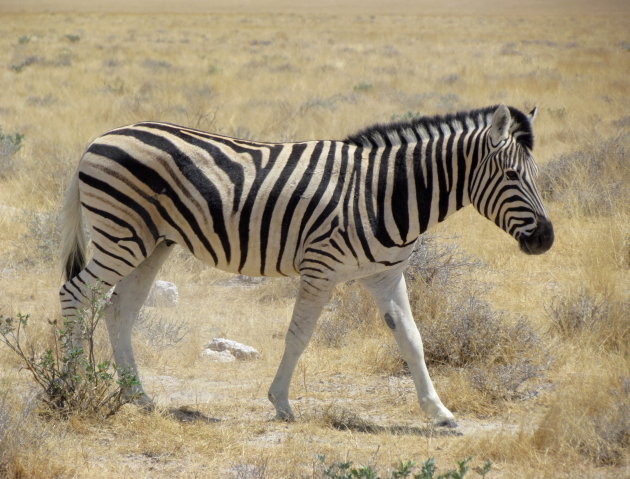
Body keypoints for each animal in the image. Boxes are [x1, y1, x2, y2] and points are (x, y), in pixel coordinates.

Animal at [58, 105, 552, 428]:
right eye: (512, 176)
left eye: (537, 176)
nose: (546, 239)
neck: (382, 193)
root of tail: (100, 137)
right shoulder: (322, 267)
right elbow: (299, 335)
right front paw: (281, 404)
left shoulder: (385, 274)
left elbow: (412, 340)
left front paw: (440, 412)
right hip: (121, 235)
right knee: (75, 294)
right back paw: (67, 385)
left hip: (151, 243)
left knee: (119, 309)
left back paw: (137, 396)